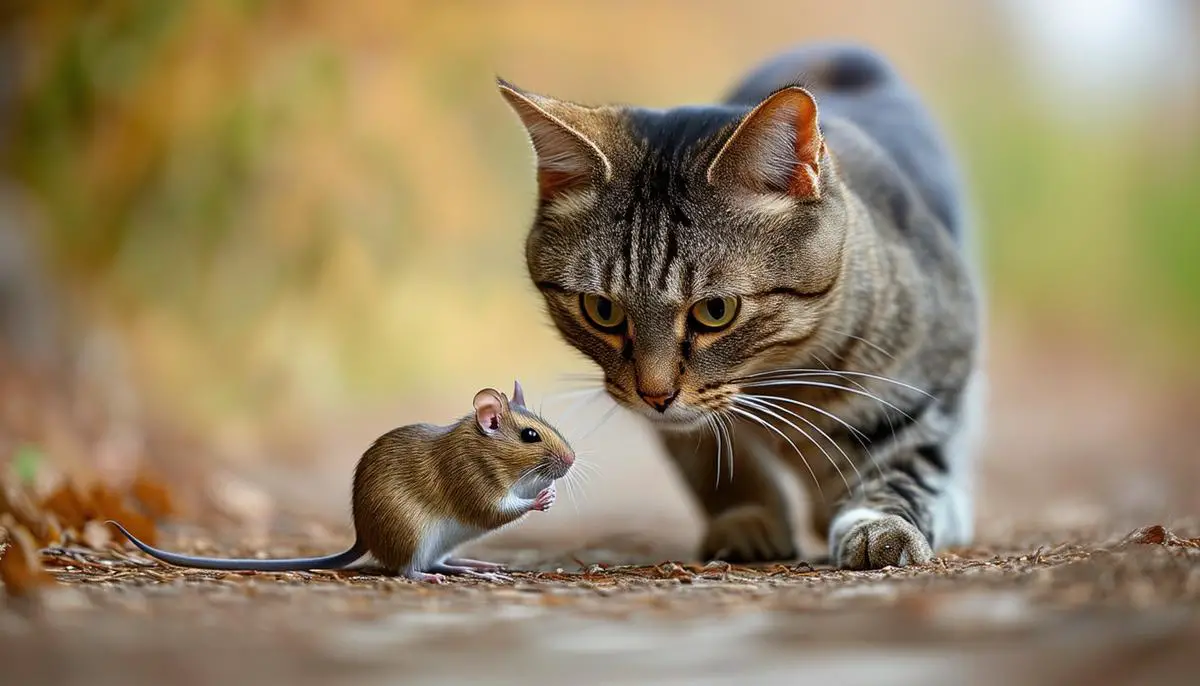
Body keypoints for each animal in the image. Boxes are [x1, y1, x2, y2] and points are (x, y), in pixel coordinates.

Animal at [501, 40, 979, 570]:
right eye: (602, 310)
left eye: (716, 311)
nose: (655, 395)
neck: (782, 376)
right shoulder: (683, 426)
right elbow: (716, 459)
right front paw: (748, 518)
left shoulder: (927, 384)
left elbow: (905, 468)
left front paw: (882, 524)